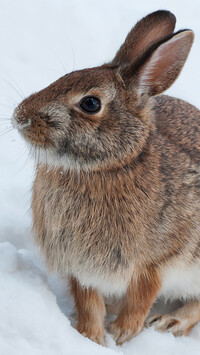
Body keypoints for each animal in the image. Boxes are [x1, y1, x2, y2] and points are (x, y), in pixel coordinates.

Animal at [12, 10, 200, 348]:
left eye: (90, 103)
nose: (21, 117)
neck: (106, 167)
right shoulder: (78, 266)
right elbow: (87, 301)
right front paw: (90, 337)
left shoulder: (157, 260)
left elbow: (142, 295)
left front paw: (122, 334)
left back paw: (170, 322)